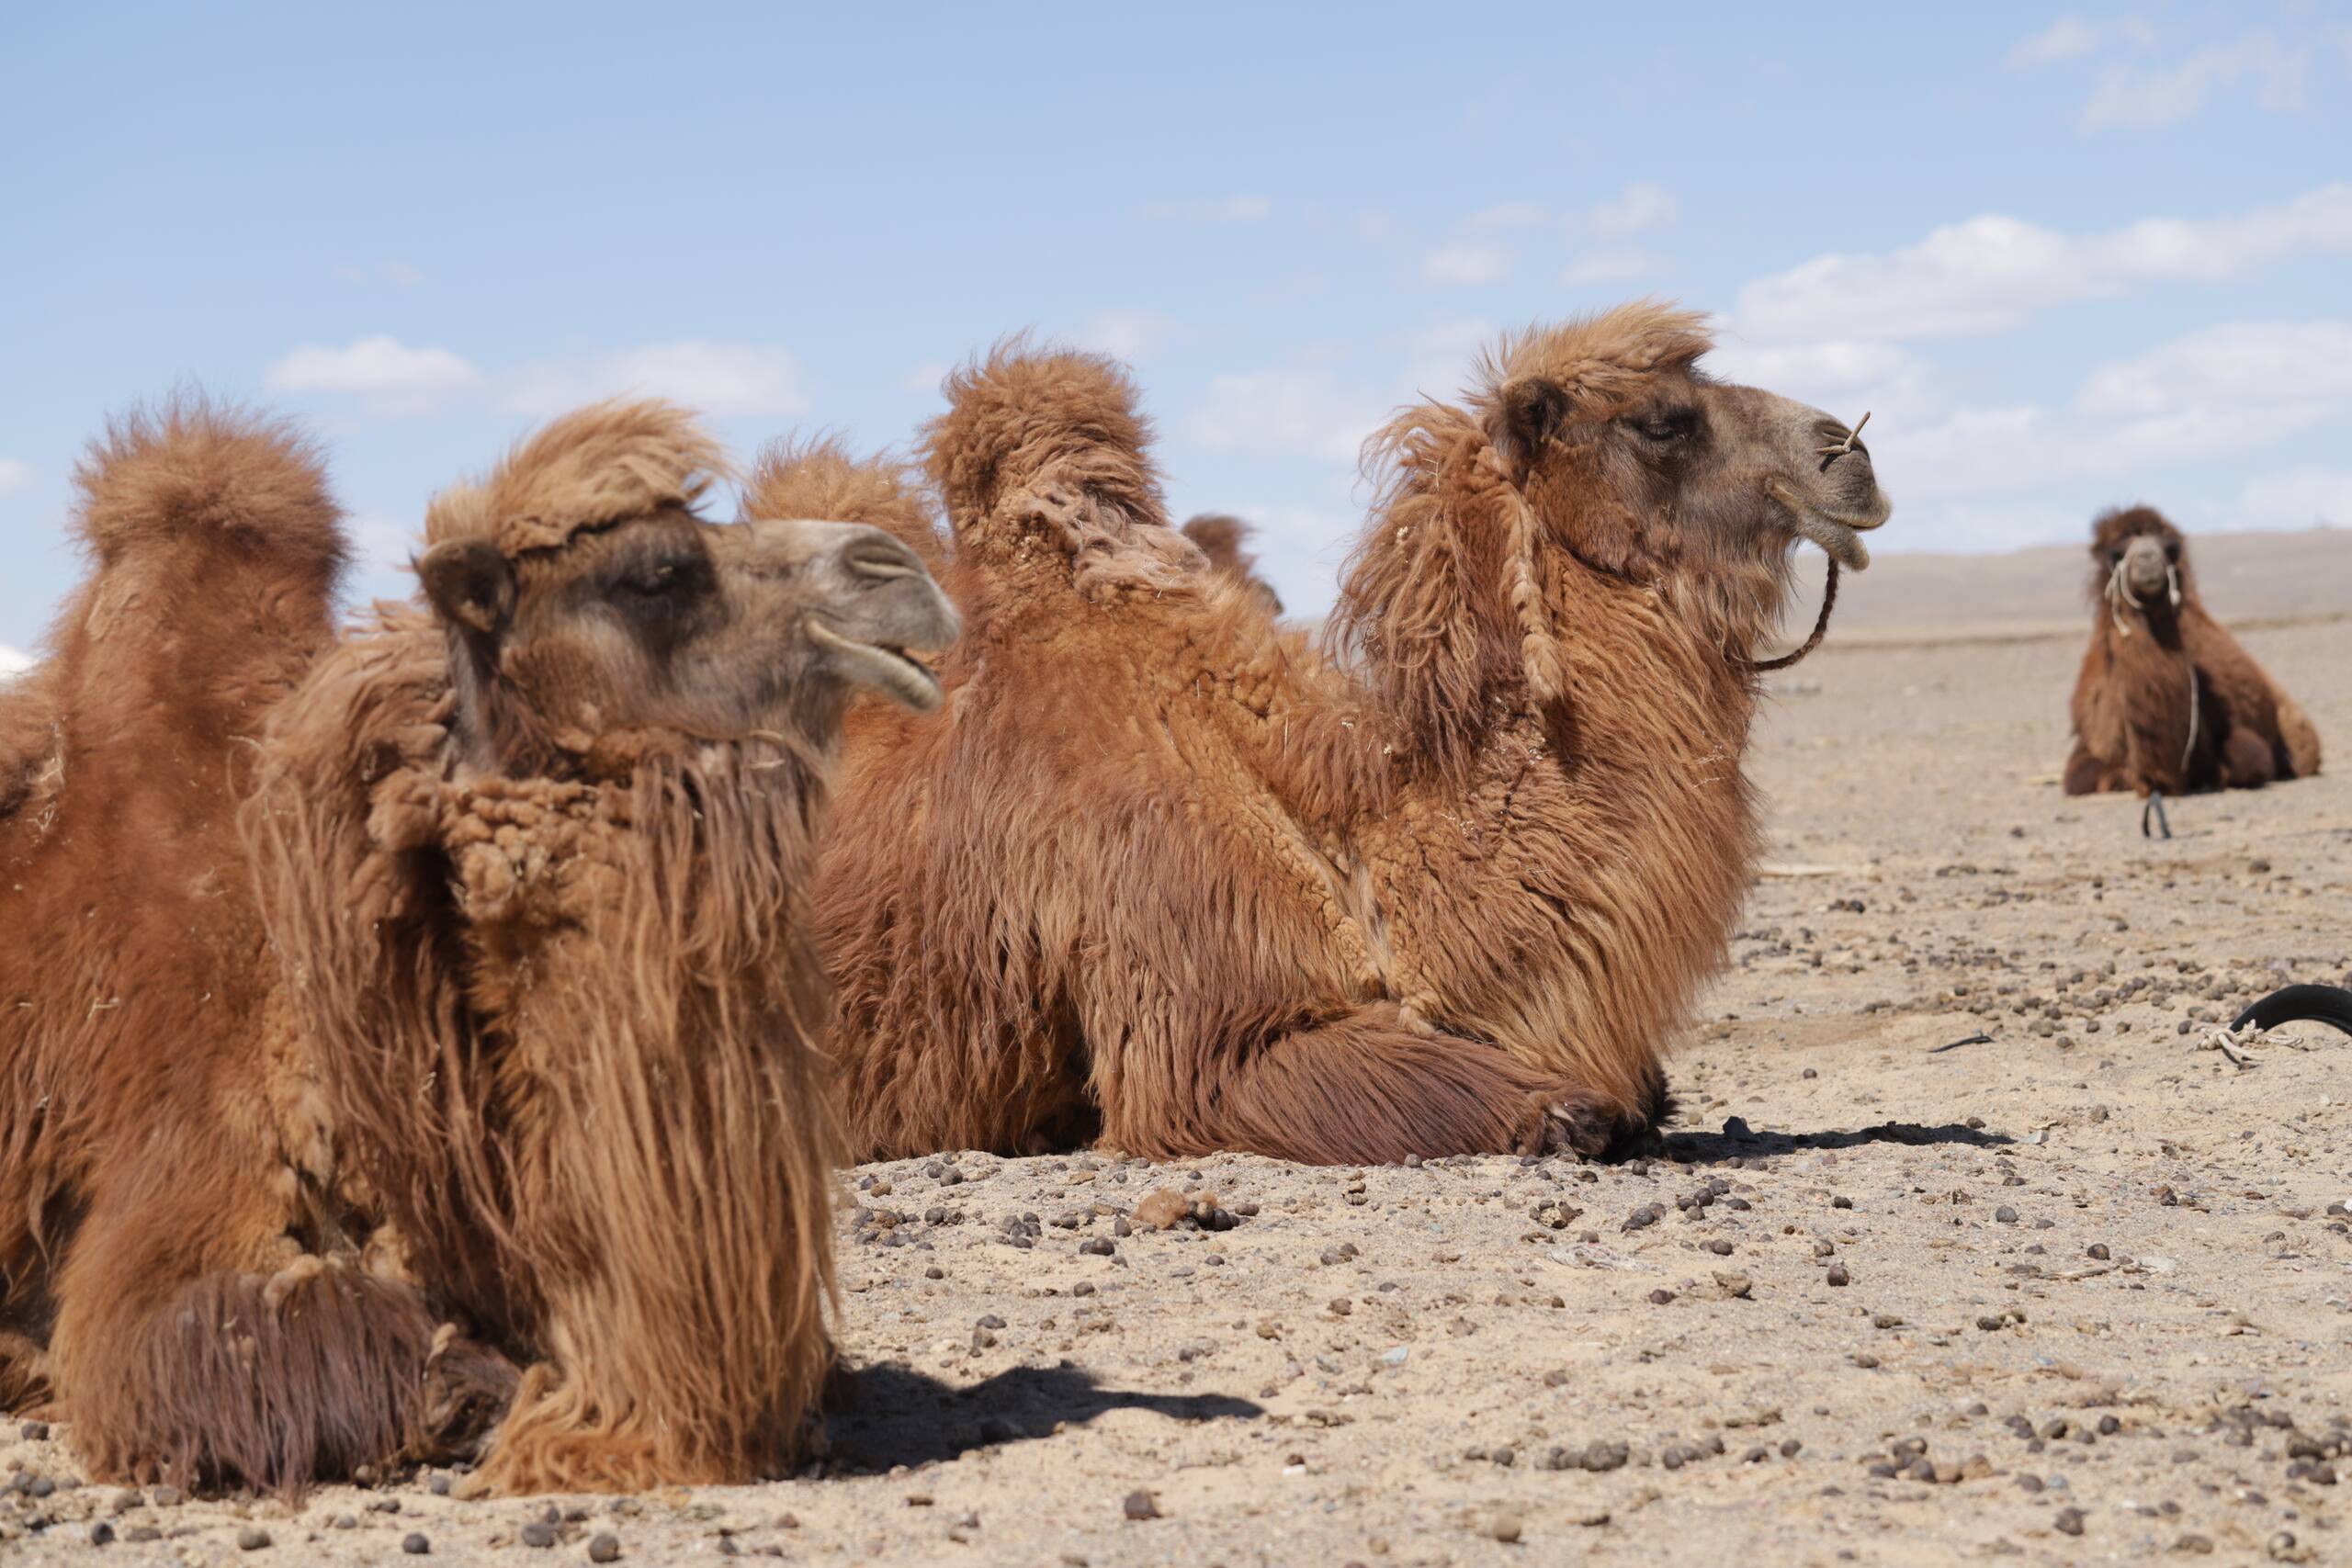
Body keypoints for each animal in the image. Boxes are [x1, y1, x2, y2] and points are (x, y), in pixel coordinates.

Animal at [2063, 505, 2321, 797]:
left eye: (2171, 548)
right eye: (2115, 552)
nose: (2147, 559)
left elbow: (2247, 759)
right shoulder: (2090, 746)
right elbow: (2084, 776)